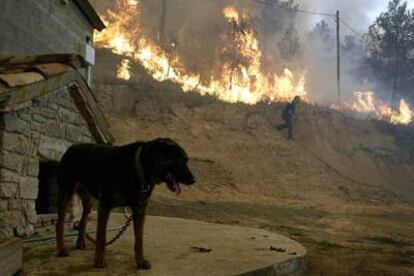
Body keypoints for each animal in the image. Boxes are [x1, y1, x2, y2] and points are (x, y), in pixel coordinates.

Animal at [55, 138, 196, 270]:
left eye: (186, 160)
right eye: (178, 160)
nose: (193, 180)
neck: (139, 169)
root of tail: (72, 147)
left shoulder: (139, 210)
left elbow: (139, 239)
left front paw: (140, 262)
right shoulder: (104, 206)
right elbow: (101, 236)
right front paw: (99, 261)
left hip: (89, 200)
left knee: (83, 219)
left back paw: (80, 243)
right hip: (65, 194)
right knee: (59, 223)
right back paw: (61, 249)